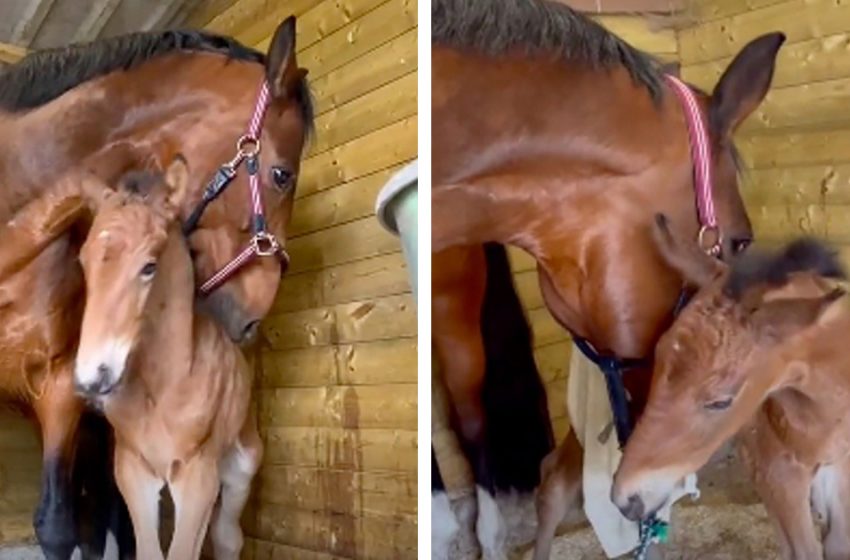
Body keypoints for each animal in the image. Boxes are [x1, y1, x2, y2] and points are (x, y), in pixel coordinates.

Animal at [75, 158, 262, 560]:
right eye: (83, 262)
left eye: (149, 266)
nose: (91, 378)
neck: (162, 385)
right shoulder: (133, 471)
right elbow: (149, 550)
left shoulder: (198, 476)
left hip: (240, 465)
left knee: (228, 536)